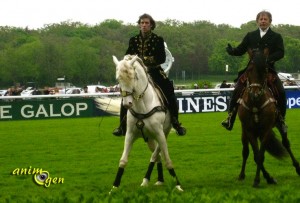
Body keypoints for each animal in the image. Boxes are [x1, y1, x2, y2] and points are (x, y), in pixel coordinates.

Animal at [110, 54, 183, 193]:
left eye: (133, 76)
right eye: (118, 78)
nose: (127, 104)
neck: (142, 106)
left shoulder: (160, 134)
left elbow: (167, 159)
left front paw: (178, 185)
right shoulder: (130, 135)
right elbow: (123, 160)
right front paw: (114, 187)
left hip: (163, 133)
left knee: (156, 154)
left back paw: (151, 180)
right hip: (150, 139)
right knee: (157, 155)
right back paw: (156, 180)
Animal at [238, 48, 298, 187]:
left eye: (265, 70)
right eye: (249, 69)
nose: (255, 94)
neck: (255, 103)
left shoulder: (266, 129)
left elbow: (260, 155)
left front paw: (261, 179)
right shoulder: (249, 130)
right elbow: (256, 155)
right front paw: (263, 178)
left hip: (278, 124)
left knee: (286, 143)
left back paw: (297, 167)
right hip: (246, 132)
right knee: (245, 151)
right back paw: (242, 174)